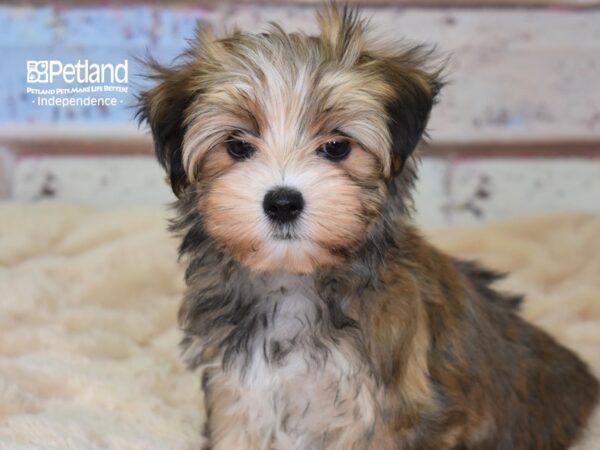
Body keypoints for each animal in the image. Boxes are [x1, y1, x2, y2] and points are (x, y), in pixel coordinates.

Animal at [137, 4, 600, 450]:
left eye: (336, 146)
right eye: (236, 146)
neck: (293, 283)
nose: (283, 202)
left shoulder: (386, 409)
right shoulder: (240, 394)